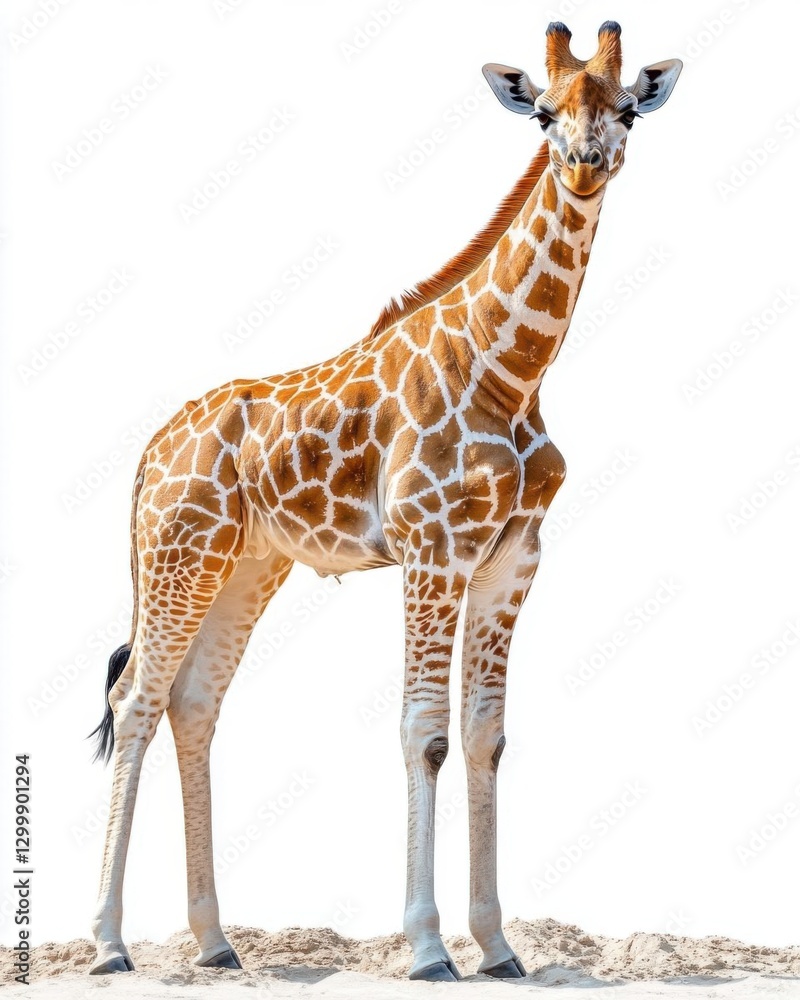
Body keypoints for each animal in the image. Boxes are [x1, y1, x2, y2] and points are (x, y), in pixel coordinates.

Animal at [89, 21, 681, 981]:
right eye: (542, 112)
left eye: (627, 108)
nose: (586, 163)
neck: (511, 369)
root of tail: (147, 453)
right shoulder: (431, 548)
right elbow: (425, 733)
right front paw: (430, 948)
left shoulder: (513, 556)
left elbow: (485, 736)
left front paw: (499, 948)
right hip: (181, 550)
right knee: (135, 698)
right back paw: (107, 942)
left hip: (247, 566)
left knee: (194, 704)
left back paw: (215, 943)